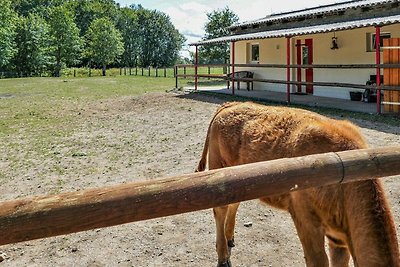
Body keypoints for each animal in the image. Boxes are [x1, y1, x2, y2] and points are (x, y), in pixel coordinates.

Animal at [195, 101, 398, 266]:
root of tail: (231, 104)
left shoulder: (338, 240)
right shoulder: (306, 220)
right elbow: (318, 261)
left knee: (233, 204)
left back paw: (230, 238)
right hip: (219, 166)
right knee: (220, 210)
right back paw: (223, 257)